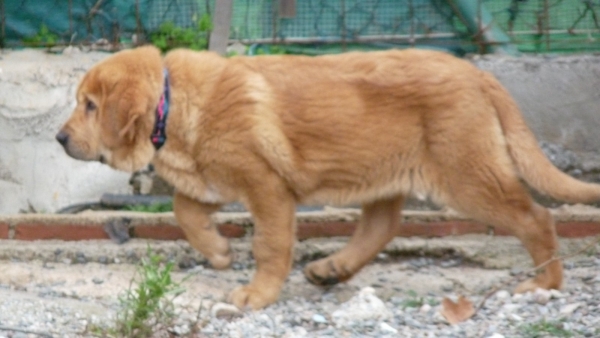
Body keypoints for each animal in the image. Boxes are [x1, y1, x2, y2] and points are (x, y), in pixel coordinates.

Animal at [56, 46, 600, 310]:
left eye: (91, 106)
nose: (60, 139)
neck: (173, 104)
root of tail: (477, 73)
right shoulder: (216, 181)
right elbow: (184, 210)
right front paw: (219, 252)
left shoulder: (267, 187)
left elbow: (270, 245)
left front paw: (256, 295)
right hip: (386, 171)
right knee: (382, 225)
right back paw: (332, 269)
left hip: (468, 175)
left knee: (536, 217)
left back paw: (545, 282)